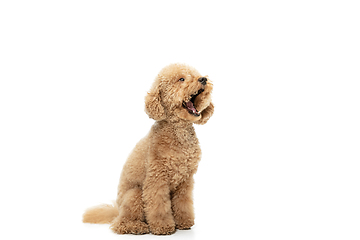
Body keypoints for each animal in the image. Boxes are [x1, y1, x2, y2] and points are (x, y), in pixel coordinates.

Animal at [83, 63, 214, 234]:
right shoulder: (157, 179)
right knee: (120, 224)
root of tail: (117, 210)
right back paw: (138, 226)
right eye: (181, 79)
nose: (203, 79)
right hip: (135, 194)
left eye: (195, 74)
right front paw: (162, 226)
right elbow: (158, 205)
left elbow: (183, 203)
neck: (178, 132)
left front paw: (184, 222)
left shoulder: (185, 181)